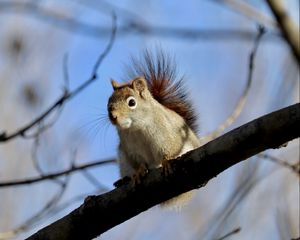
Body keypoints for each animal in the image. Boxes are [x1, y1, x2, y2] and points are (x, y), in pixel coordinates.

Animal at [106, 51, 200, 208]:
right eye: (109, 102)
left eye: (132, 102)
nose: (113, 116)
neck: (136, 128)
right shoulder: (130, 149)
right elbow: (138, 162)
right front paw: (139, 172)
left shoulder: (168, 133)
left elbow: (170, 148)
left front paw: (167, 161)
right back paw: (123, 181)